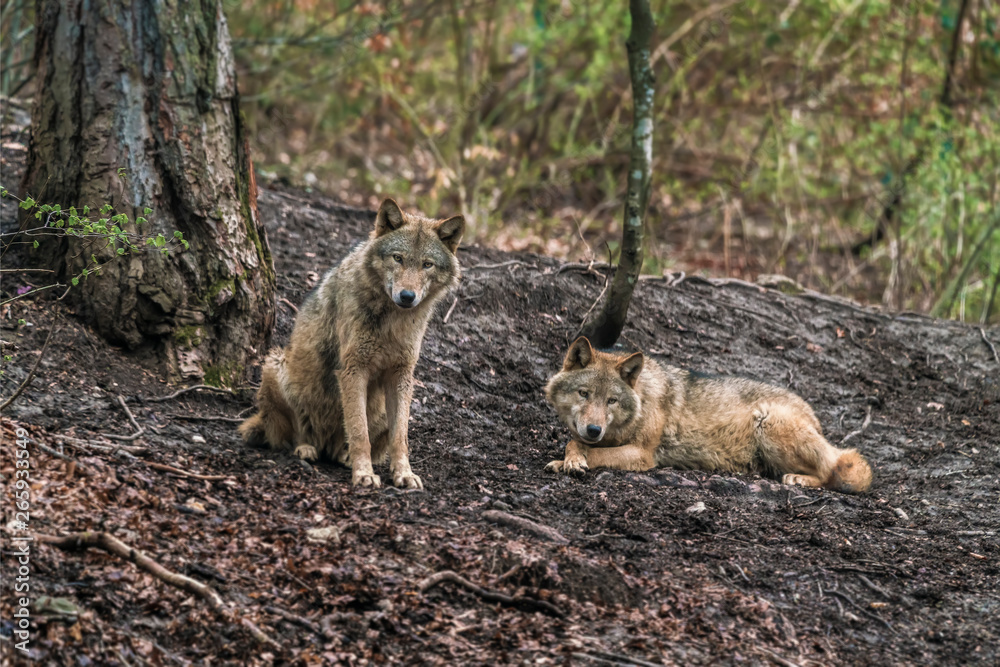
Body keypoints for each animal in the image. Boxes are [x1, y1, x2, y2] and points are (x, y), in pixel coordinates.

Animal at [239, 198, 464, 489]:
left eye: (427, 264)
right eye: (398, 258)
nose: (407, 296)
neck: (393, 321)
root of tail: (326, 444)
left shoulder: (401, 376)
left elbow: (400, 437)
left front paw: (403, 474)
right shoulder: (353, 370)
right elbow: (359, 432)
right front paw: (364, 474)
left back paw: (342, 456)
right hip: (275, 366)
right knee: (293, 433)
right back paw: (306, 448)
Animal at [544, 337, 873, 493]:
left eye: (611, 400)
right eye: (584, 394)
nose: (594, 429)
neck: (642, 400)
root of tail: (814, 417)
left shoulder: (642, 454)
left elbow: (587, 449)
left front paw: (574, 461)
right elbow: (574, 442)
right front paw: (565, 461)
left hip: (768, 422)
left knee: (833, 471)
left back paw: (800, 480)